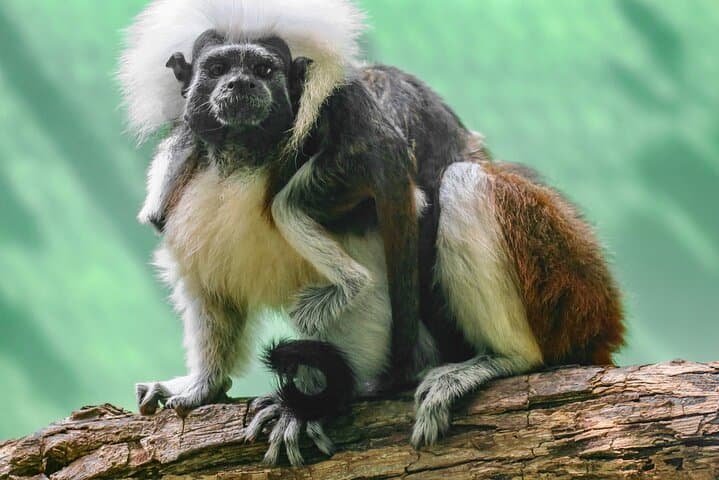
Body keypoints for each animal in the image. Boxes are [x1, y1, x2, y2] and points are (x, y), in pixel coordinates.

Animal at [119, 0, 624, 466]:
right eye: (217, 68)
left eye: (264, 69)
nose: (241, 85)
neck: (246, 162)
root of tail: (601, 317)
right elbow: (210, 288)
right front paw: (202, 386)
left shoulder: (352, 141)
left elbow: (369, 293)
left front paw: (305, 406)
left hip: (560, 281)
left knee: (462, 182)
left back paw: (503, 360)